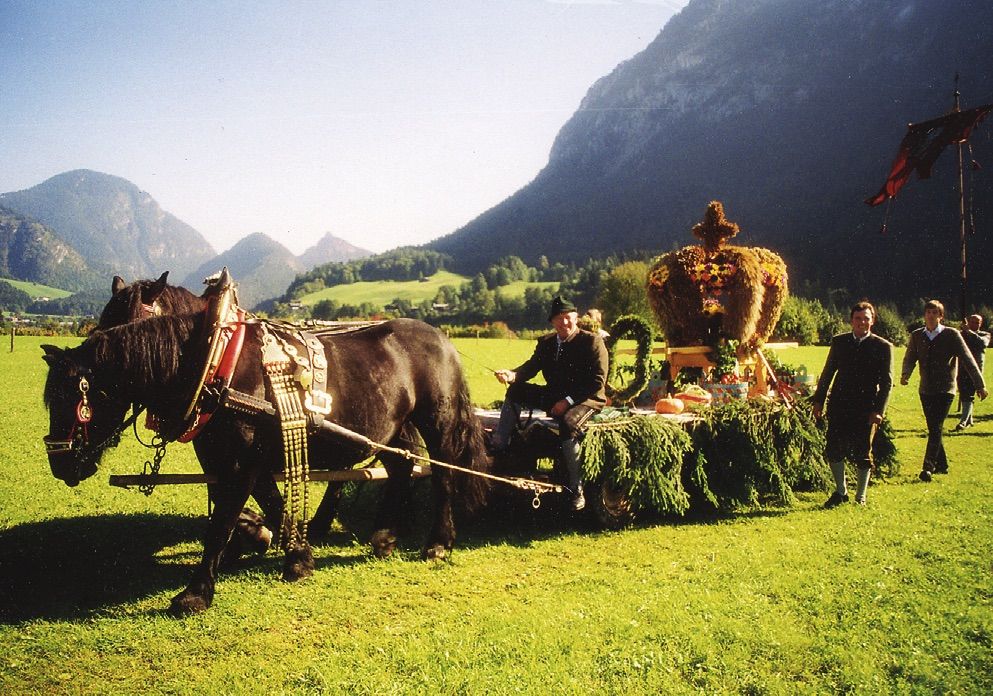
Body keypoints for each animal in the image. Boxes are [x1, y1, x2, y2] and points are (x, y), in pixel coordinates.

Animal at [41, 312, 488, 616]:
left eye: (75, 397)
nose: (60, 463)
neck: (216, 366)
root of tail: (441, 337)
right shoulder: (232, 462)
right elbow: (268, 506)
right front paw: (298, 559)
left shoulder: (239, 465)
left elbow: (220, 525)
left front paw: (195, 594)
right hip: (394, 426)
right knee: (401, 469)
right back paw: (385, 536)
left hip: (438, 418)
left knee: (443, 475)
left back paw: (438, 544)